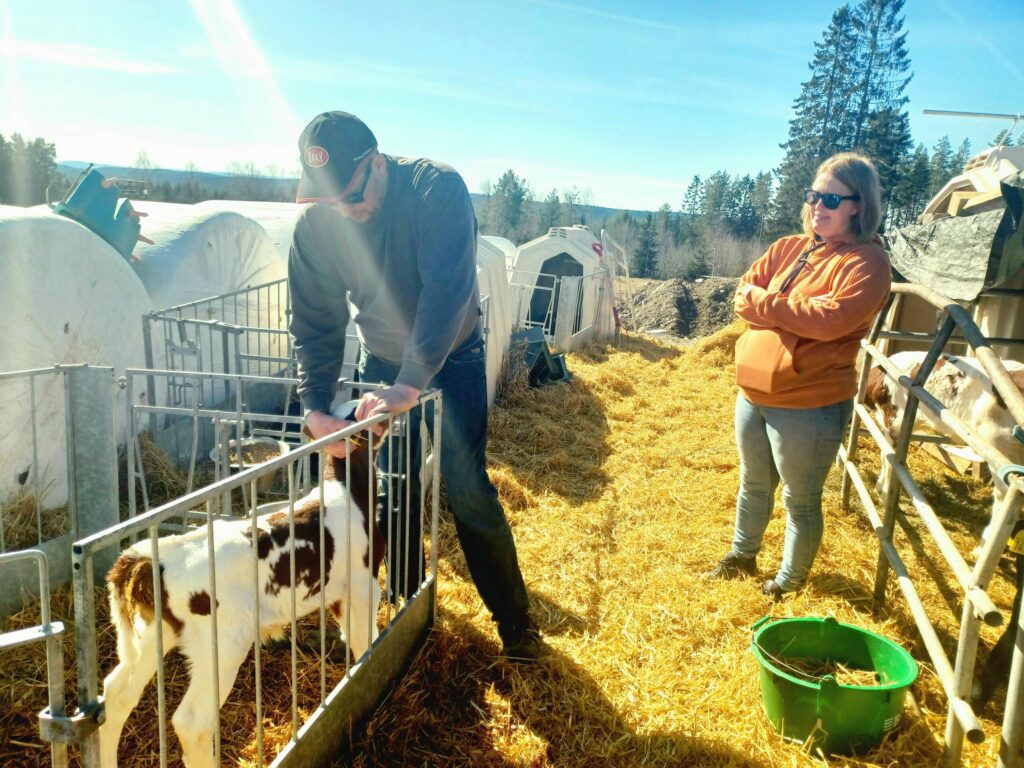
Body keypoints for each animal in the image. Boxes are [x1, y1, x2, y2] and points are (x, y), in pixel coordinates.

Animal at [96, 421, 385, 768]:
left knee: (116, 695)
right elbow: (367, 638)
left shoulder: (339, 593)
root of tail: (158, 558)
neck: (346, 488)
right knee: (192, 722)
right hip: (222, 642)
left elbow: (353, 636)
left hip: (152, 633)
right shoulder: (364, 581)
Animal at [864, 352, 1024, 544]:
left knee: (1005, 501)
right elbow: (883, 456)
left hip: (999, 449)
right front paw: (879, 487)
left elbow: (889, 460)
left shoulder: (892, 421)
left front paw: (885, 493)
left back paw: (984, 544)